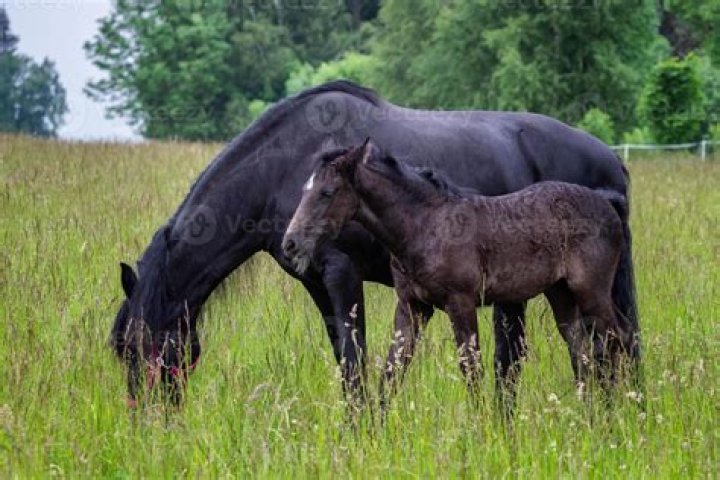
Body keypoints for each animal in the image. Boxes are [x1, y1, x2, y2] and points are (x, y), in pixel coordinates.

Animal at [282, 141, 633, 406]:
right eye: (305, 189)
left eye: (327, 192)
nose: (290, 242)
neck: (424, 226)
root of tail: (607, 202)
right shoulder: (412, 307)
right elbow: (392, 370)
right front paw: (372, 432)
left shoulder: (460, 302)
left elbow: (471, 368)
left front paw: (483, 431)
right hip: (560, 293)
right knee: (582, 349)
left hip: (591, 291)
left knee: (619, 339)